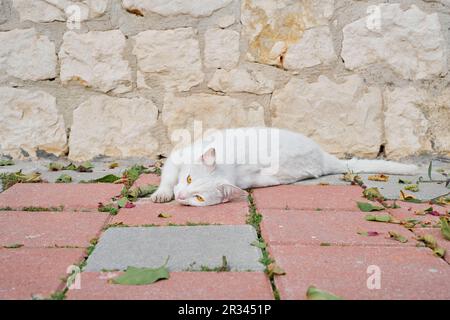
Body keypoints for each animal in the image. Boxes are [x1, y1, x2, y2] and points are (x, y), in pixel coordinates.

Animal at [151, 128, 418, 208]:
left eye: (198, 198)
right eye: (188, 179)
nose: (181, 196)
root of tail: (325, 156)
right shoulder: (176, 157)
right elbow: (168, 178)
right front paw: (162, 194)